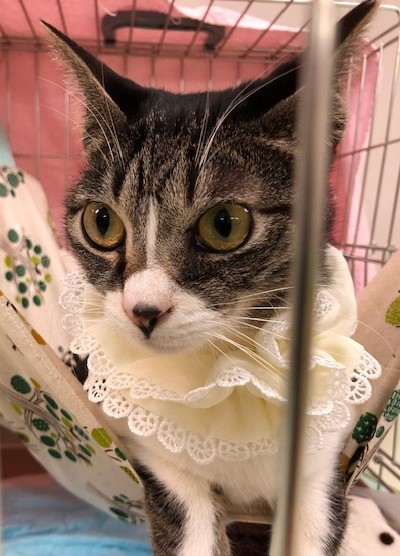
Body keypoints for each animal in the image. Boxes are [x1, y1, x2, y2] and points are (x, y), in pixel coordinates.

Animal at [44, 1, 377, 555]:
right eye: (102, 222)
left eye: (224, 224)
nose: (143, 310)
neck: (228, 368)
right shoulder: (155, 454)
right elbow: (185, 517)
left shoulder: (322, 458)